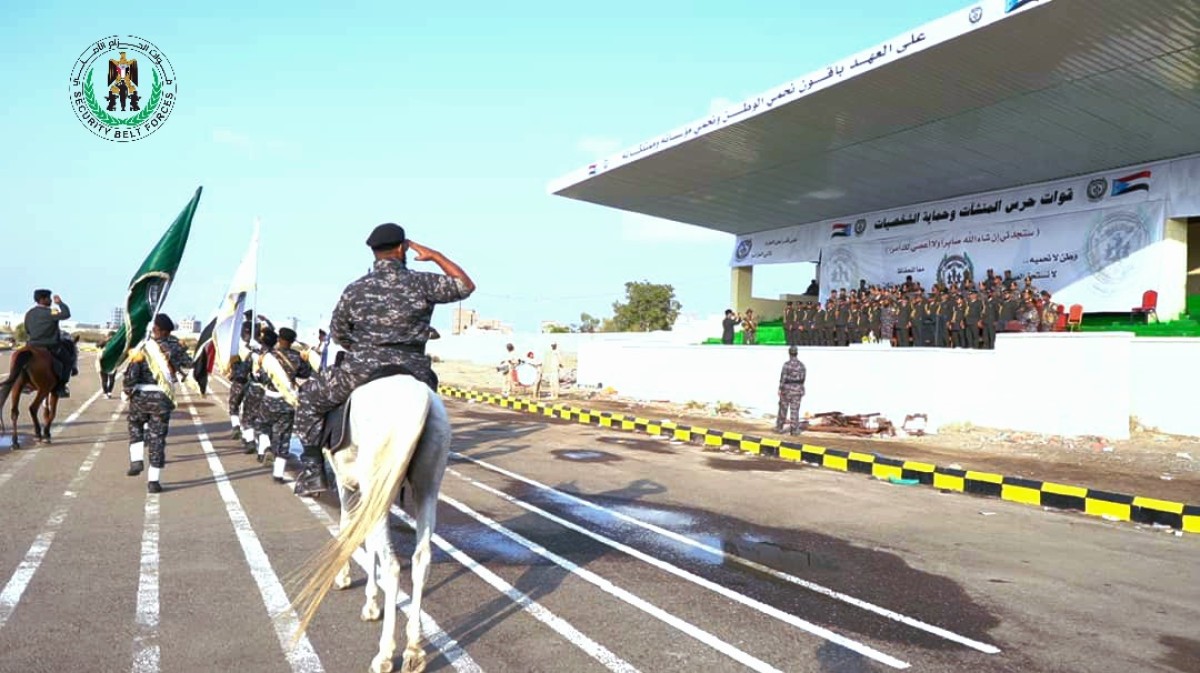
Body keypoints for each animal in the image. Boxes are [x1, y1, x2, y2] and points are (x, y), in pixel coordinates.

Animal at [292, 374, 451, 671]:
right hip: (426, 488)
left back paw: (385, 654)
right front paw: (371, 602)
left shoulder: (348, 485)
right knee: (421, 560)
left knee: (392, 566)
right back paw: (414, 649)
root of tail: (419, 397)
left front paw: (346, 581)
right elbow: (368, 541)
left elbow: (347, 530)